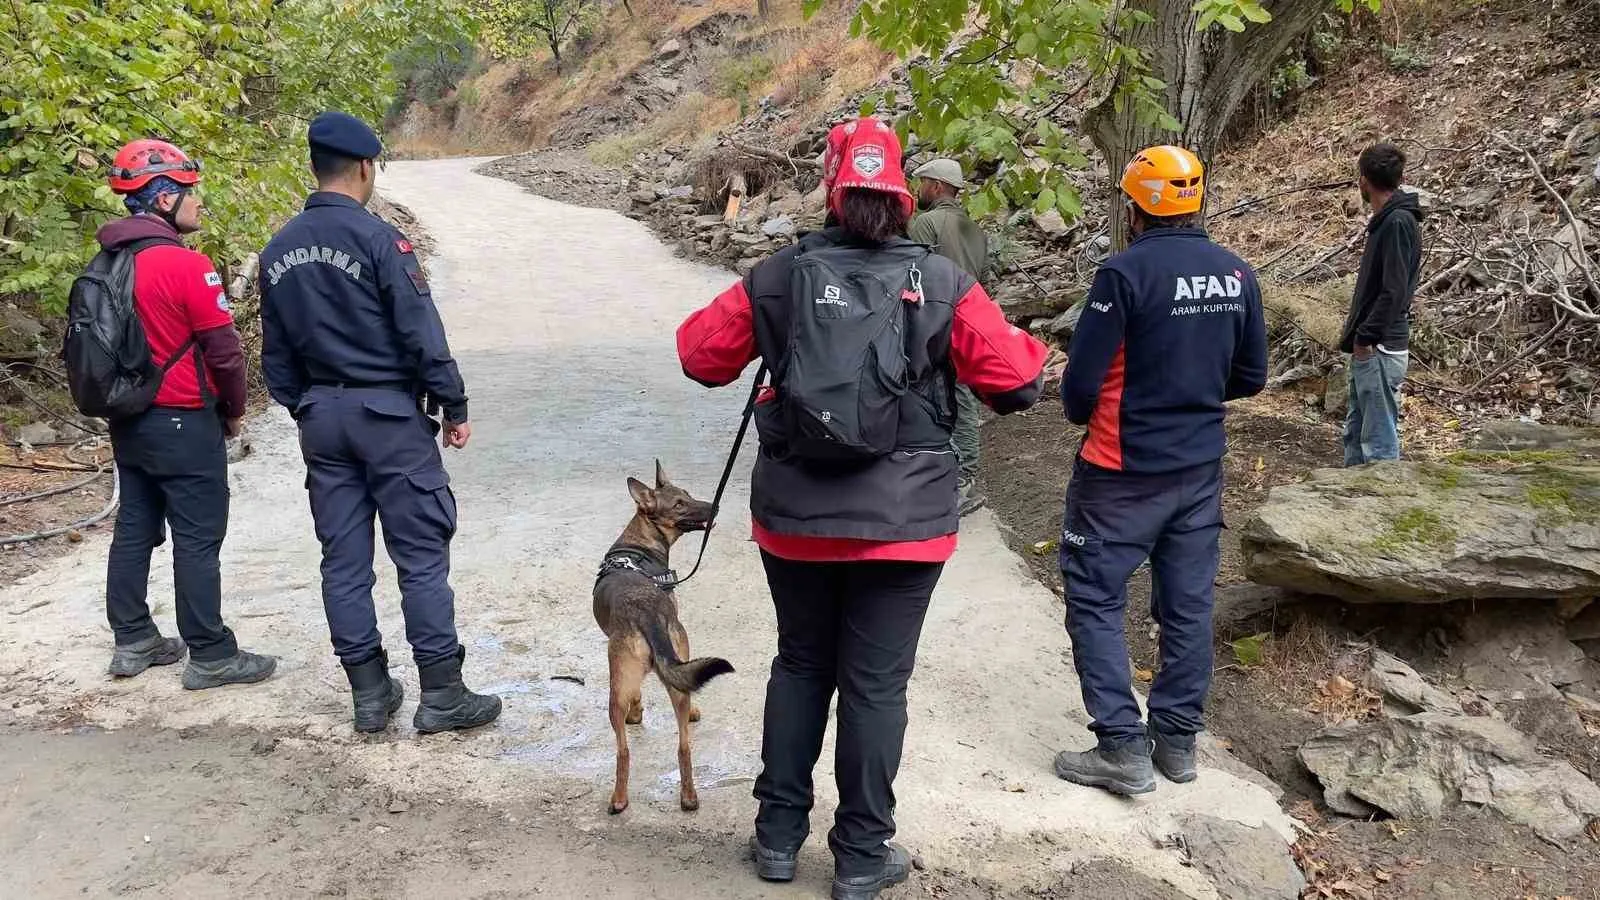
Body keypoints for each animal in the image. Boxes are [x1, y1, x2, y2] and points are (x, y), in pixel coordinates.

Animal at [592, 461, 732, 813]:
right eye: (679, 504)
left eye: (688, 495)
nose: (715, 507)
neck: (639, 542)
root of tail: (648, 613)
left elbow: (637, 695)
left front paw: (637, 713)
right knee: (683, 746)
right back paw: (688, 797)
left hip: (616, 687)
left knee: (624, 751)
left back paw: (619, 798)